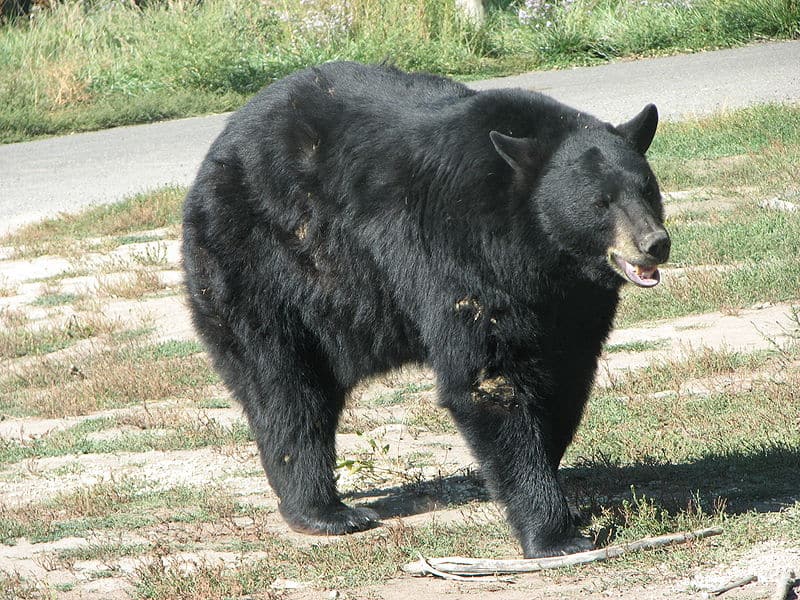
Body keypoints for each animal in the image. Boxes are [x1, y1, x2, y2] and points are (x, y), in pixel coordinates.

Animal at [183, 61, 668, 556]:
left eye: (647, 188)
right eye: (600, 202)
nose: (655, 243)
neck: (537, 251)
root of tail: (217, 149)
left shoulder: (572, 301)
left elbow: (566, 376)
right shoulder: (461, 255)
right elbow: (488, 379)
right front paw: (554, 533)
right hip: (261, 266)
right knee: (285, 388)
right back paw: (325, 511)